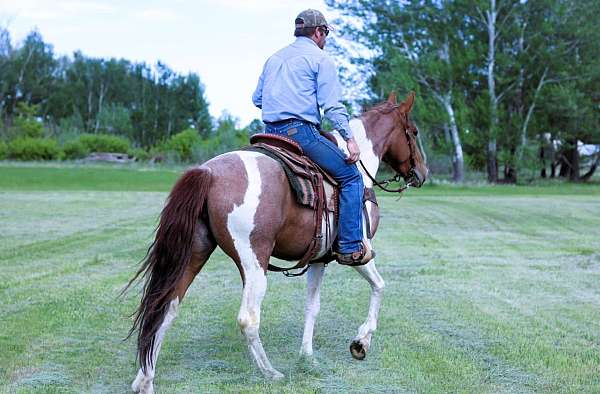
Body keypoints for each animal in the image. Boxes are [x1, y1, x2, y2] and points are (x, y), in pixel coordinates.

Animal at [127, 91, 426, 390]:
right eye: (413, 131)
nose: (422, 173)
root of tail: (209, 173)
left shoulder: (319, 260)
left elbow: (312, 306)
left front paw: (307, 357)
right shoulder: (360, 252)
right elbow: (379, 286)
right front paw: (361, 343)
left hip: (195, 253)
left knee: (165, 307)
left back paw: (145, 379)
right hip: (254, 262)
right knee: (247, 318)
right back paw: (270, 372)